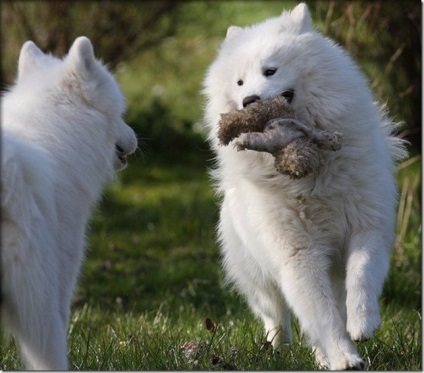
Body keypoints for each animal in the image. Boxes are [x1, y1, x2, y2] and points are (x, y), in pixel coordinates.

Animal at [205, 2, 408, 370]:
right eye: (239, 82)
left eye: (270, 70)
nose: (249, 100)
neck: (313, 176)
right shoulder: (298, 254)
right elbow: (323, 316)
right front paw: (344, 357)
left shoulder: (367, 227)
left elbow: (362, 275)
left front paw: (362, 323)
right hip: (260, 277)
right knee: (276, 316)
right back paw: (280, 349)